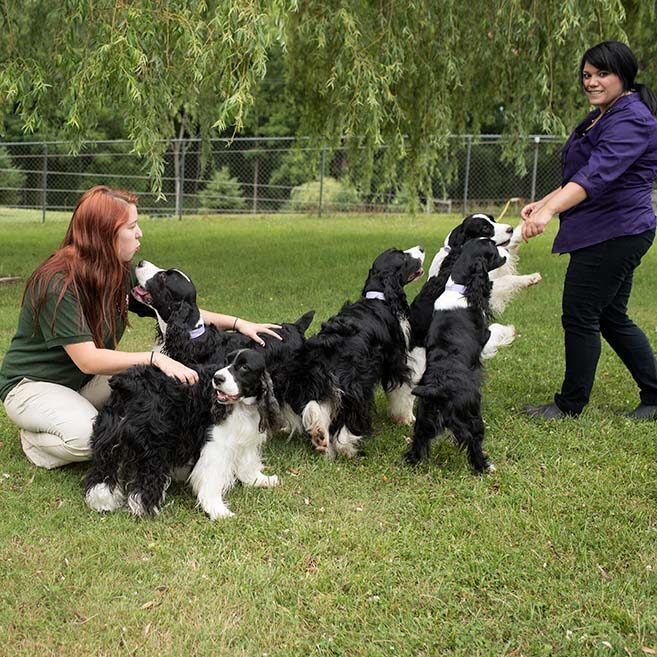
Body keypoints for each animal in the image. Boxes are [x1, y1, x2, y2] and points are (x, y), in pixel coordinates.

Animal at [84, 348, 282, 516]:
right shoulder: (216, 445)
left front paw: (260, 480)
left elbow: (247, 463)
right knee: (144, 482)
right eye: (226, 363)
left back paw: (102, 503)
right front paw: (217, 510)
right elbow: (212, 478)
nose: (217, 378)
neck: (241, 406)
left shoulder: (245, 436)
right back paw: (146, 509)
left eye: (244, 367)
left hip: (108, 437)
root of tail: (127, 384)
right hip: (154, 444)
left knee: (102, 472)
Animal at [288, 246, 426, 456]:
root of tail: (327, 347)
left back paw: (320, 437)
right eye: (403, 256)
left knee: (319, 406)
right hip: (355, 384)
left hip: (319, 381)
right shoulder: (395, 361)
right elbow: (401, 391)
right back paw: (347, 447)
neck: (379, 295)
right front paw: (406, 418)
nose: (421, 248)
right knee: (349, 417)